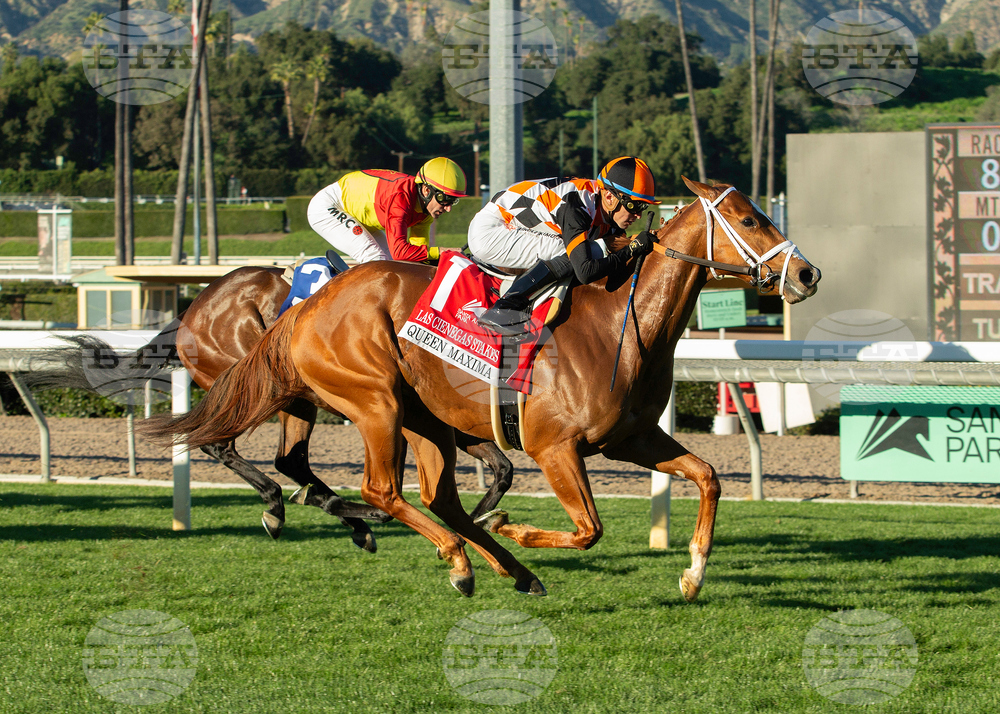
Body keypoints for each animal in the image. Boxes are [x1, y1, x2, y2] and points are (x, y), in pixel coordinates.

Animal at [141, 179, 821, 601]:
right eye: (748, 218)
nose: (809, 274)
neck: (617, 326)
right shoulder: (555, 447)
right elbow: (589, 528)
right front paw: (517, 528)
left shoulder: (629, 437)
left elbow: (708, 476)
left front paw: (693, 575)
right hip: (374, 401)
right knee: (378, 489)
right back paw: (448, 555)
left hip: (418, 415)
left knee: (431, 497)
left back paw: (504, 568)